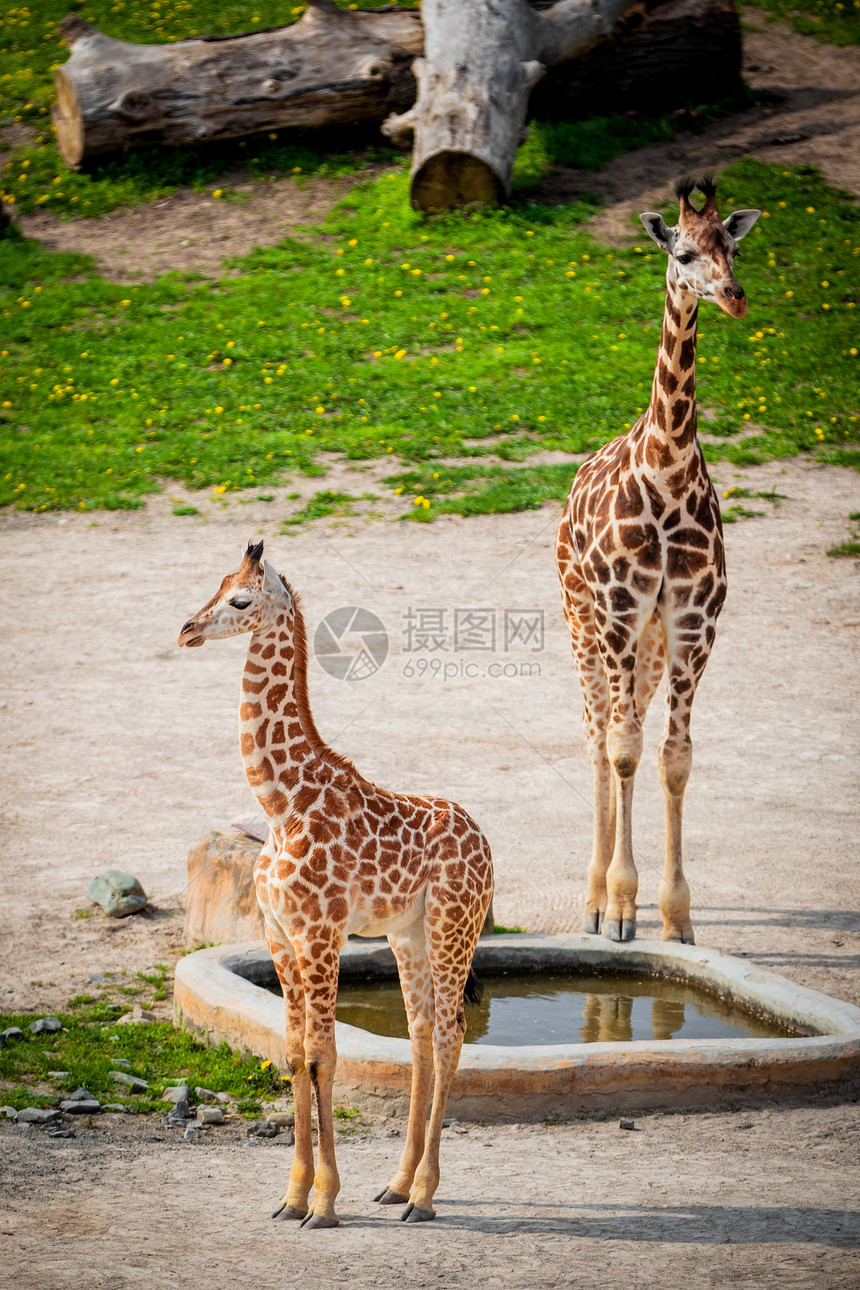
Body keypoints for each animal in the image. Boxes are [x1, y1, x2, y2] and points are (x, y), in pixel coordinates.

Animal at [176, 541, 489, 1228]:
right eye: (215, 584)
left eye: (240, 599)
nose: (185, 630)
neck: (280, 804)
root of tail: (487, 843)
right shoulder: (279, 933)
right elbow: (295, 1053)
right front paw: (292, 1197)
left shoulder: (320, 934)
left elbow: (325, 1055)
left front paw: (322, 1203)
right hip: (408, 936)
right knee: (421, 1034)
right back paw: (397, 1186)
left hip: (453, 927)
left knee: (451, 1033)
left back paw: (424, 1196)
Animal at [559, 176, 758, 944]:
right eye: (682, 250)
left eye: (734, 246)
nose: (733, 295)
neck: (667, 468)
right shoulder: (618, 614)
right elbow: (621, 750)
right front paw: (618, 906)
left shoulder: (694, 626)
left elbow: (673, 760)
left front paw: (674, 916)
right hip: (585, 624)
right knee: (596, 737)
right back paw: (592, 899)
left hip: (645, 645)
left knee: (628, 729)